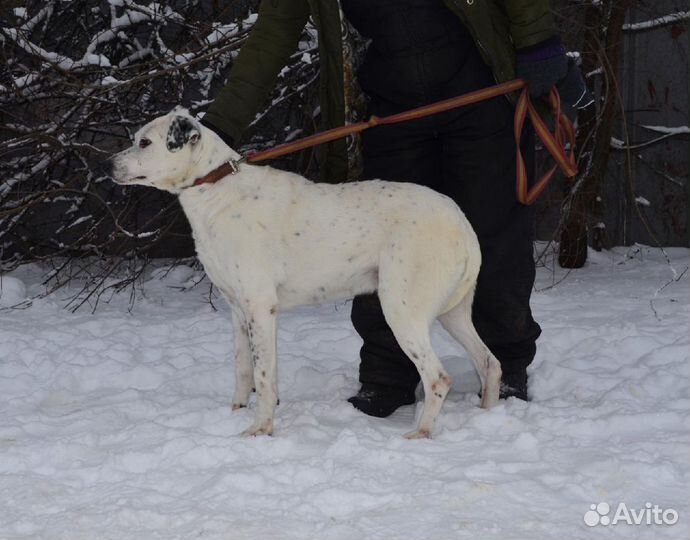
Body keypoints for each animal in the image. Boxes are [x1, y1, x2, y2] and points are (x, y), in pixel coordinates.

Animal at [111, 106, 500, 438]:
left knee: (438, 378)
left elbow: (264, 377)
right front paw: (236, 413)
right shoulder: (238, 311)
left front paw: (260, 429)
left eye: (145, 142)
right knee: (489, 362)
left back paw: (421, 432)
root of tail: (462, 223)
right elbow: (244, 370)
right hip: (453, 313)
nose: (107, 163)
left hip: (402, 310)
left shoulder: (259, 308)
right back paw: (487, 416)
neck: (216, 188)